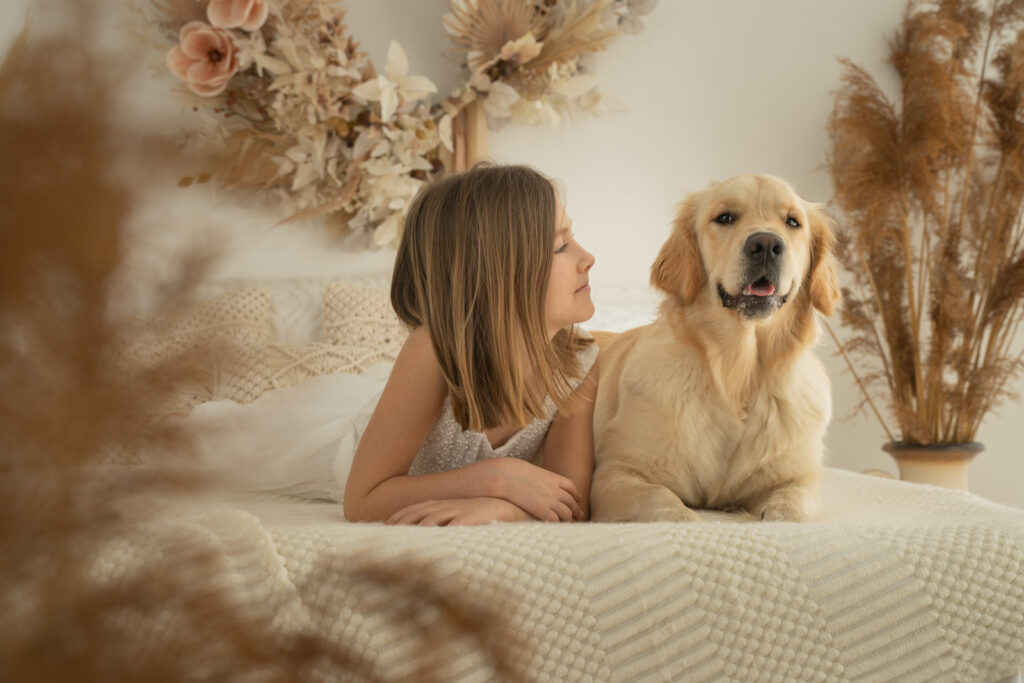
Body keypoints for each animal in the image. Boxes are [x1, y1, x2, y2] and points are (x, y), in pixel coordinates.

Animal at [593, 175, 839, 524]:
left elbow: (792, 503)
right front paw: (688, 519)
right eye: (725, 218)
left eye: (793, 222)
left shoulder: (797, 478)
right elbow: (663, 500)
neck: (738, 374)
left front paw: (779, 517)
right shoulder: (615, 473)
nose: (766, 245)